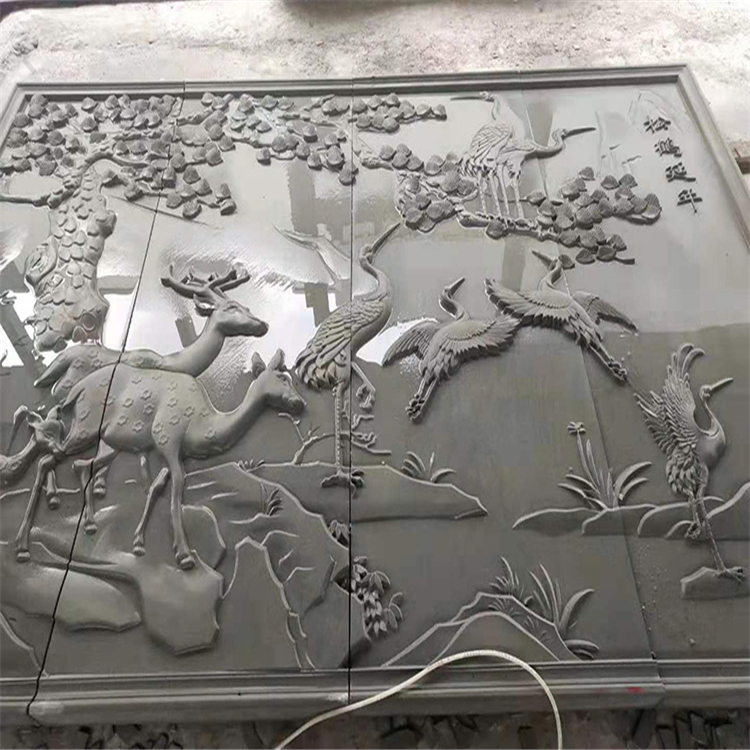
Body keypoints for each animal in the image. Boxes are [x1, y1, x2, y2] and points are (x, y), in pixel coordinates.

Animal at [14, 349, 305, 570]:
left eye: (291, 378)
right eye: (282, 377)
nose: (300, 403)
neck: (200, 424)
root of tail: (76, 390)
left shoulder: (170, 450)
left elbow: (156, 488)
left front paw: (139, 544)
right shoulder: (167, 439)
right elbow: (177, 488)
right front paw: (184, 555)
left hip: (109, 444)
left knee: (79, 465)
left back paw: (89, 523)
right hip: (85, 428)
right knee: (47, 460)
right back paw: (22, 546)